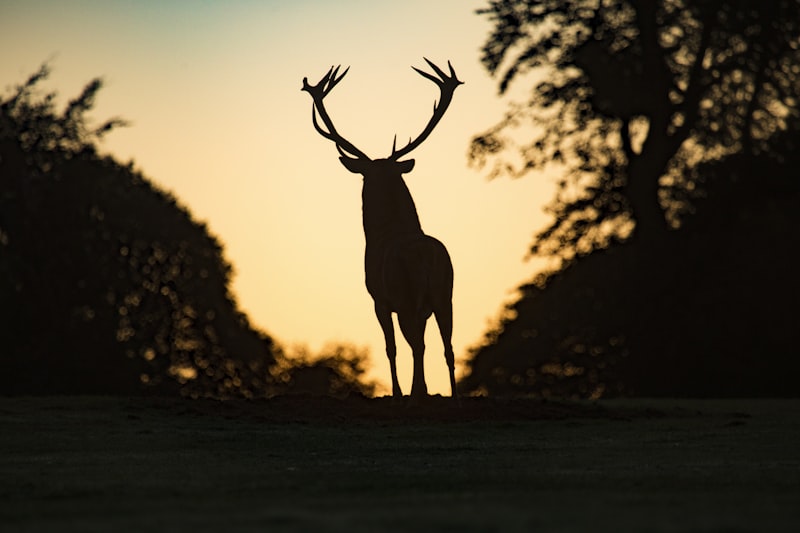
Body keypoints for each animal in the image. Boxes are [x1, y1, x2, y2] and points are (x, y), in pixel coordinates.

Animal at [302, 59, 462, 403]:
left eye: (365, 176)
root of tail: (426, 257)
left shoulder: (378, 298)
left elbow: (390, 348)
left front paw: (399, 392)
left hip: (408, 296)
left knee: (416, 344)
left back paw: (417, 392)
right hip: (446, 294)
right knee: (448, 347)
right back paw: (453, 395)